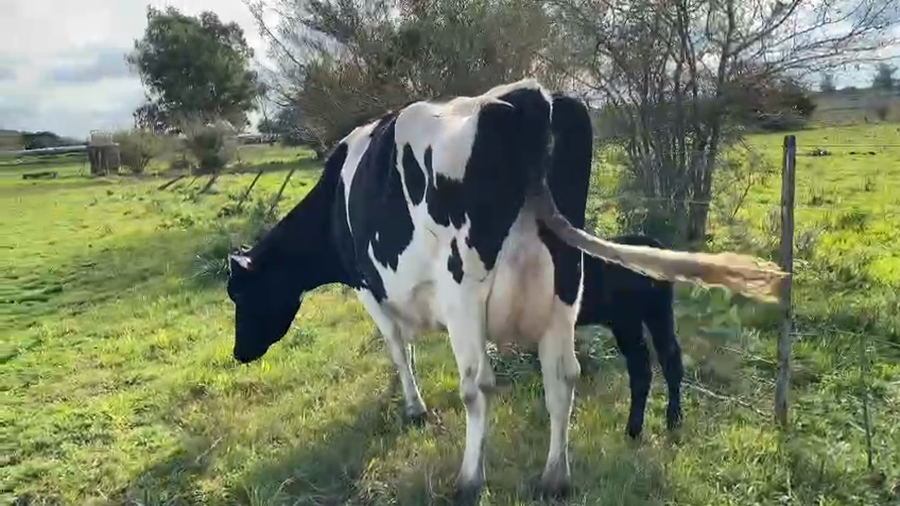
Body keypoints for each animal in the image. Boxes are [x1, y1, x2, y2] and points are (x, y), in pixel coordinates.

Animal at [576, 234, 684, 440]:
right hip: (658, 313)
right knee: (671, 357)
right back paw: (674, 419)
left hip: (627, 320)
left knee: (641, 369)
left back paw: (633, 429)